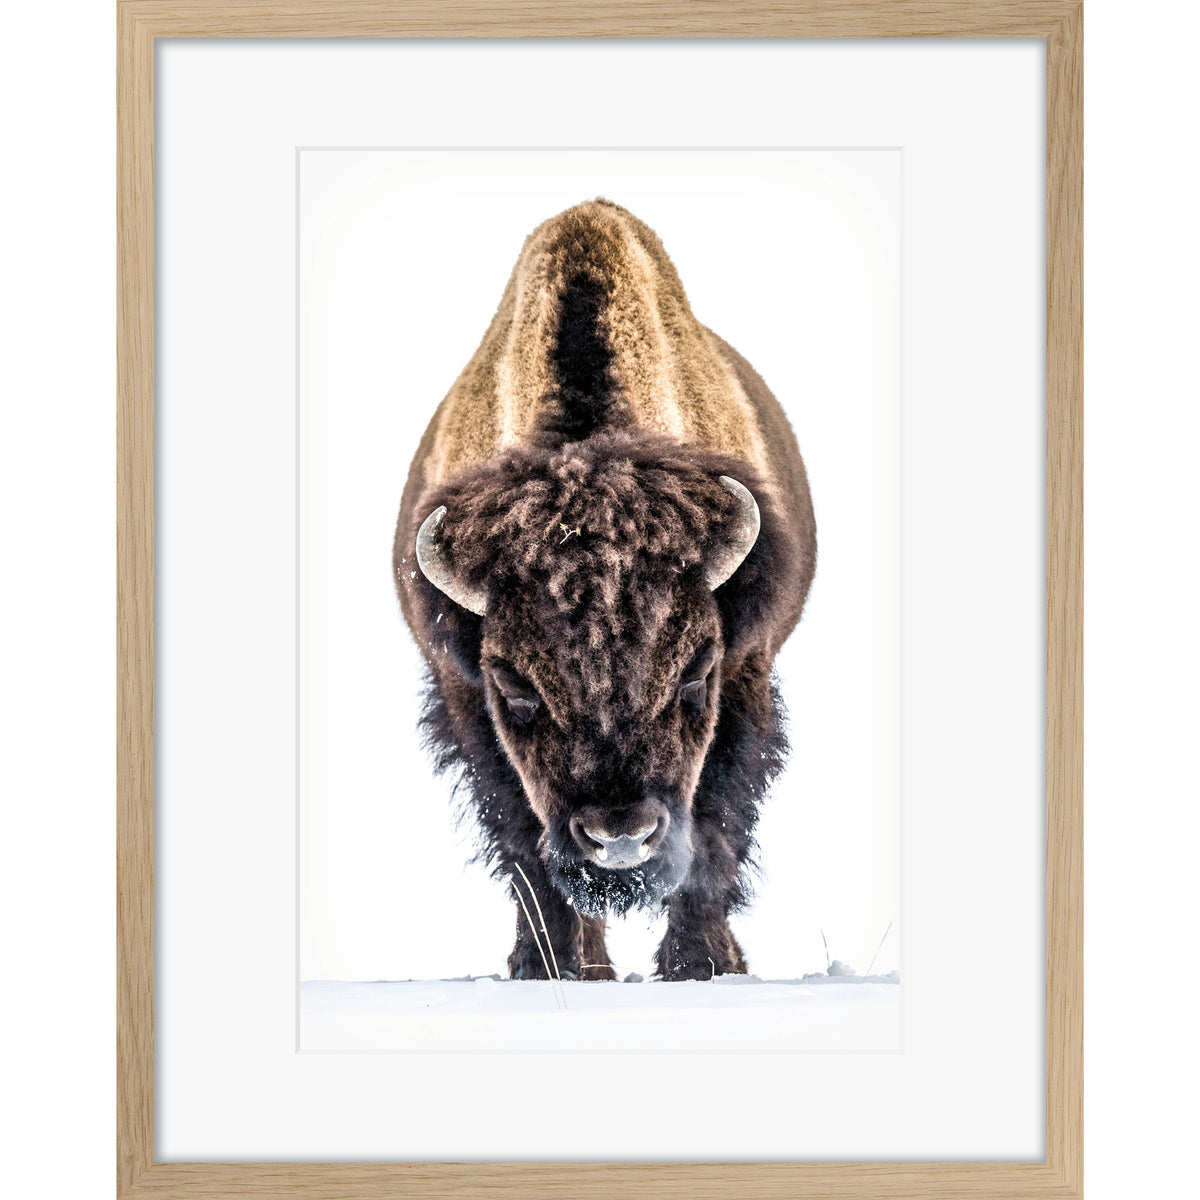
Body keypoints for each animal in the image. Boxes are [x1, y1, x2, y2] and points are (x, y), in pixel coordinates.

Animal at [394, 200, 816, 980]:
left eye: (697, 672)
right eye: (515, 684)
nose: (620, 836)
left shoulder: (747, 672)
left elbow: (714, 829)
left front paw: (699, 965)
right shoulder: (464, 698)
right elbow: (525, 847)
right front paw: (551, 968)